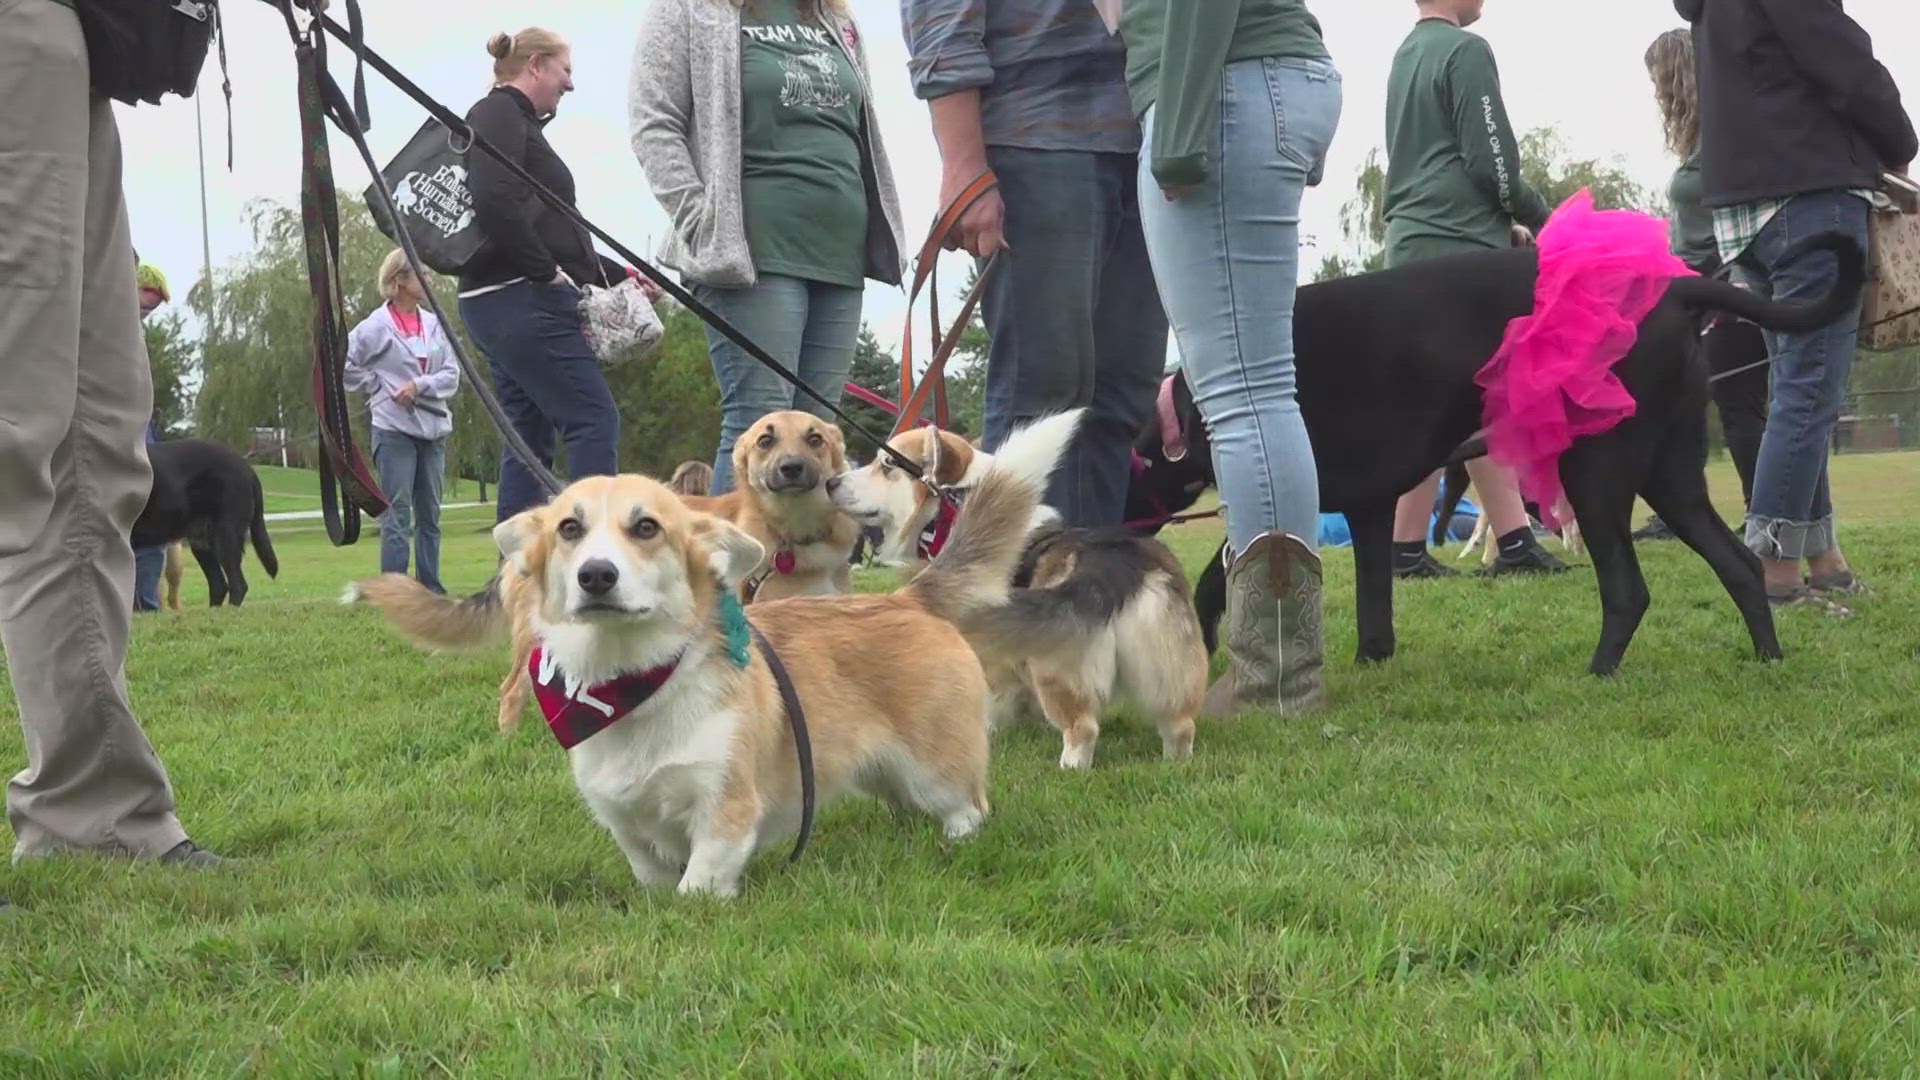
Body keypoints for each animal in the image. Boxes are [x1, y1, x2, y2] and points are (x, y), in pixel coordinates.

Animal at [349, 407, 1082, 895]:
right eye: (569, 530)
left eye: (648, 527)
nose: (596, 577)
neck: (630, 681)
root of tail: (909, 598)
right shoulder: (624, 821)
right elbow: (650, 871)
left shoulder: (724, 810)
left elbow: (698, 884)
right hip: (882, 766)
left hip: (937, 766)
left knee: (966, 806)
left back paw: (954, 839)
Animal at [821, 420, 1198, 764]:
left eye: (887, 465)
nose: (830, 482)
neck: (950, 510)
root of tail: (1112, 566)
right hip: (1165, 664)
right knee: (1180, 724)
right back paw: (1175, 764)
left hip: (1055, 667)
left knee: (1083, 727)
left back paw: (1069, 768)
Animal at [1121, 235, 1858, 672]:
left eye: (1129, 470)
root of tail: (1674, 289)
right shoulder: (1368, 507)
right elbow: (1373, 599)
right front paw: (1373, 658)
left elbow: (1218, 572)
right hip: (1671, 475)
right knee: (1739, 564)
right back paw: (1767, 656)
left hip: (1595, 474)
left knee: (1628, 589)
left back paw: (1598, 672)